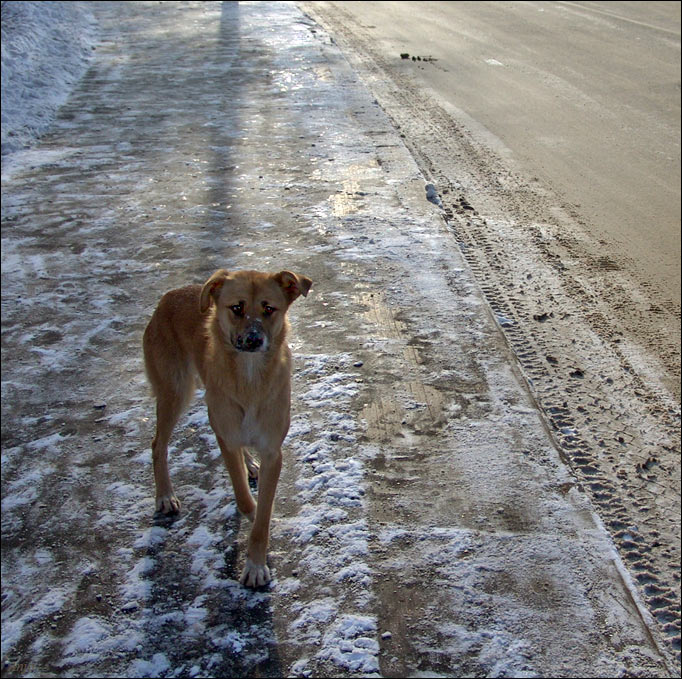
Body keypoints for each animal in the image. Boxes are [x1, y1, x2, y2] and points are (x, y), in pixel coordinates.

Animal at [146, 268, 314, 588]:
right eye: (236, 307)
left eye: (269, 309)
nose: (253, 339)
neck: (249, 378)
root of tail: (170, 295)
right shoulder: (225, 438)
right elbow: (244, 498)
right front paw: (252, 520)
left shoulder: (273, 452)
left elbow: (262, 516)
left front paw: (256, 562)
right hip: (175, 392)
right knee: (158, 444)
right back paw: (164, 495)